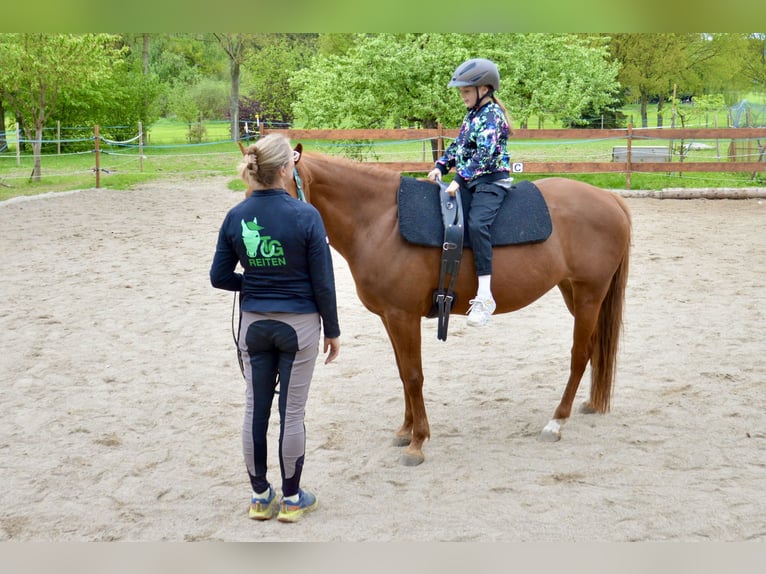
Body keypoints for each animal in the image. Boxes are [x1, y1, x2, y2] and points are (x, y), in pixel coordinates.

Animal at [282, 150, 632, 468]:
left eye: (281, 184)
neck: (381, 221)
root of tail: (610, 199)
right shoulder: (390, 317)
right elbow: (403, 373)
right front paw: (405, 431)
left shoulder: (403, 317)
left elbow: (413, 376)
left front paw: (418, 442)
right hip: (573, 291)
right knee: (594, 347)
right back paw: (589, 403)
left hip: (589, 294)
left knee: (580, 354)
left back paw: (556, 421)